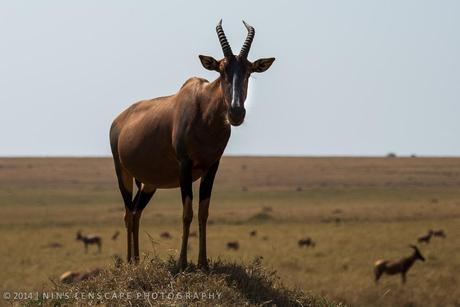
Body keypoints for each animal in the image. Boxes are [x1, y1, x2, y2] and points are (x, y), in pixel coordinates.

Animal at [108, 19, 274, 272]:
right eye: (221, 70)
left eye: (248, 71)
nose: (236, 113)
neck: (203, 108)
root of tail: (119, 120)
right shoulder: (184, 165)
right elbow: (187, 212)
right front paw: (182, 263)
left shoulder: (212, 166)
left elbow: (204, 212)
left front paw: (203, 263)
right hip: (123, 173)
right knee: (128, 213)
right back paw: (130, 263)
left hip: (149, 183)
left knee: (136, 212)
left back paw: (136, 261)